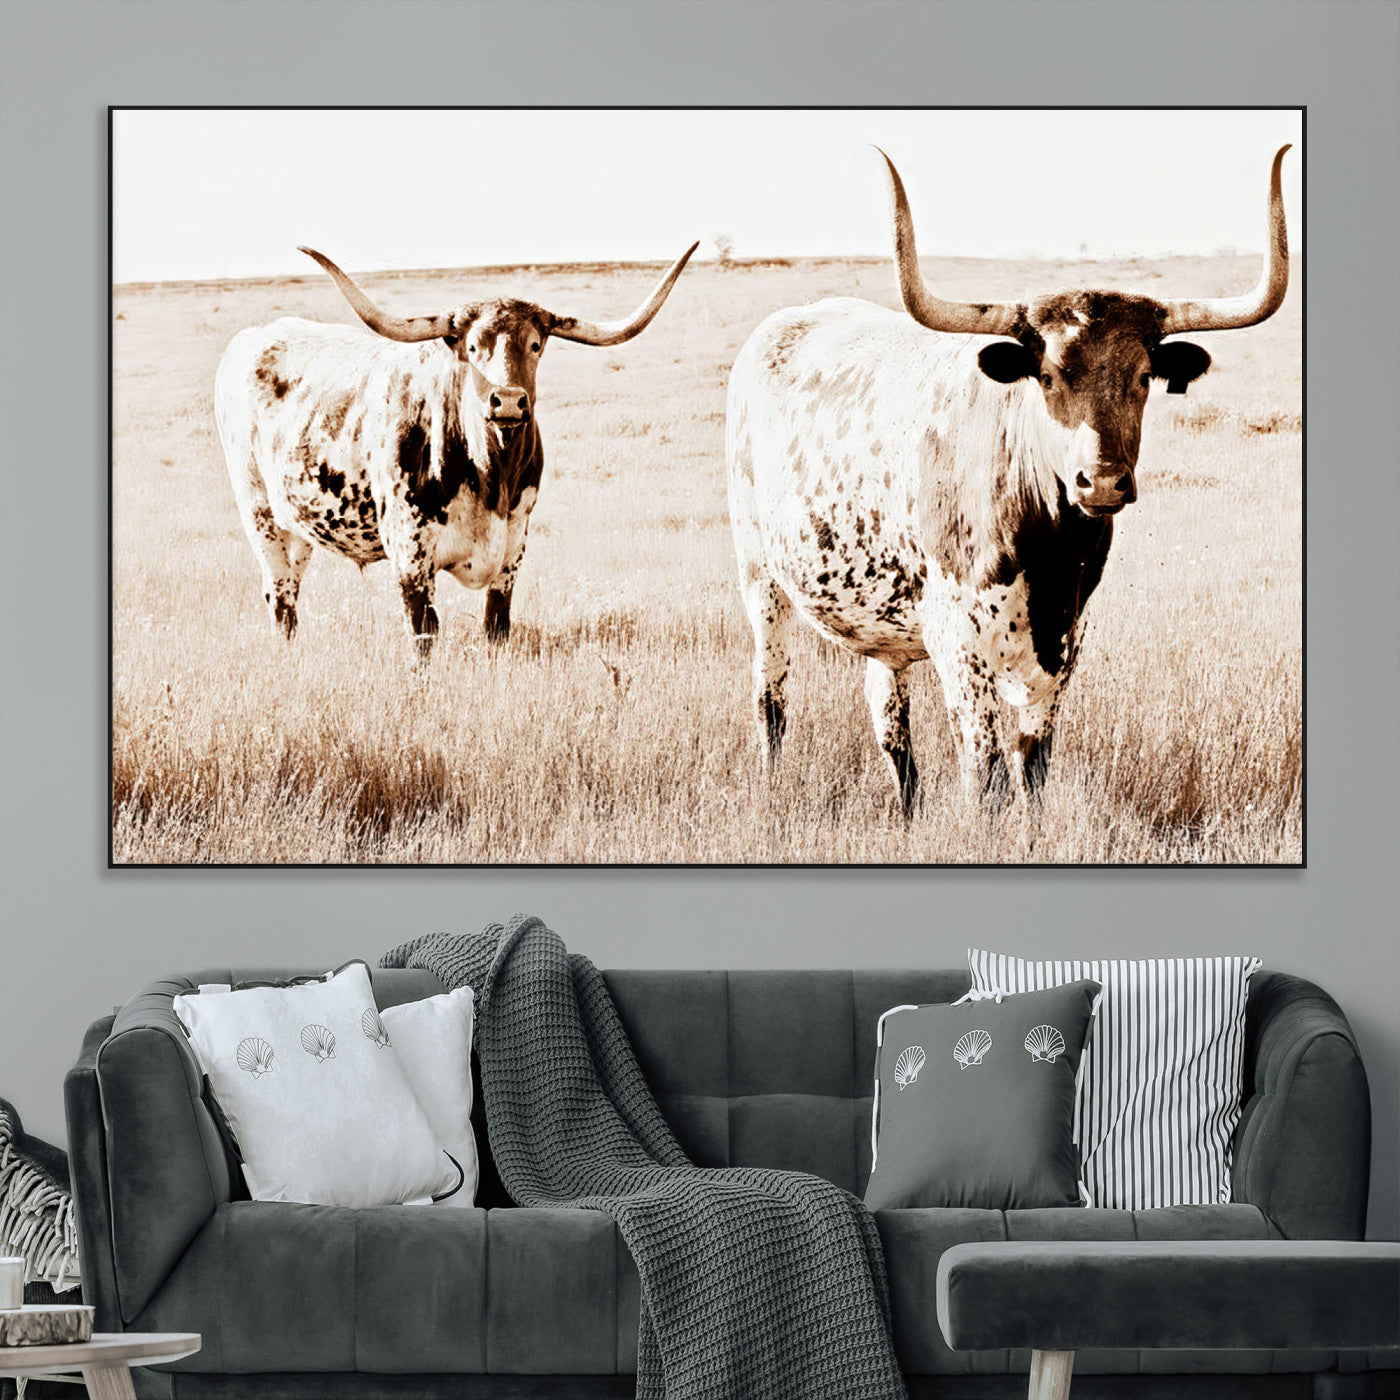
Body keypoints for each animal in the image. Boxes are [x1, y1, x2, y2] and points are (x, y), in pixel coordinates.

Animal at [216, 241, 697, 654]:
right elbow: (424, 635)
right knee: (279, 594)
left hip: (298, 526)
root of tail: (255, 336)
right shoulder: (410, 553)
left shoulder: (512, 548)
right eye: (472, 345)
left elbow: (497, 625)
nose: (507, 400)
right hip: (259, 515)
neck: (488, 476)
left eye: (535, 344)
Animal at [726, 147, 1290, 815]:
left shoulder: (1063, 645)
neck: (1049, 553)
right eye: (1045, 377)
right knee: (771, 699)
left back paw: (909, 813)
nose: (1101, 483)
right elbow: (988, 779)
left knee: (890, 718)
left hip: (884, 624)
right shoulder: (960, 651)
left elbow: (1033, 769)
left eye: (1143, 377)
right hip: (761, 579)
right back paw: (769, 784)